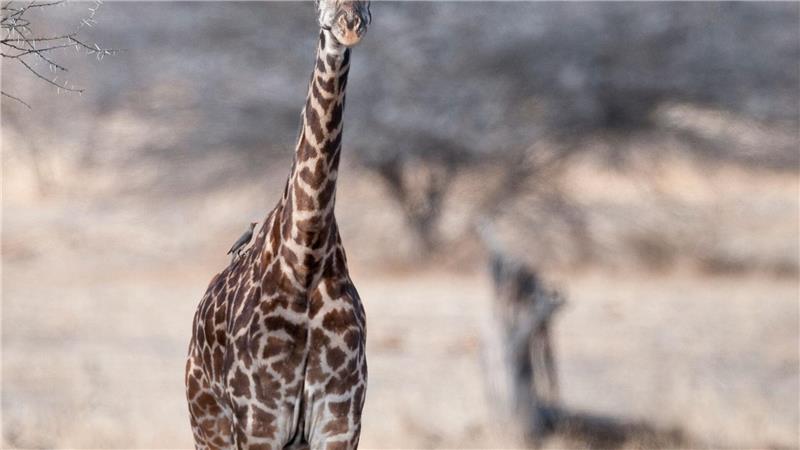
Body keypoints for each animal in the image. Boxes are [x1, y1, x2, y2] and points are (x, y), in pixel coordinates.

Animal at [185, 1, 371, 448]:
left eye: (373, 2)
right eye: (321, 3)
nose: (350, 25)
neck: (305, 258)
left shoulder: (341, 419)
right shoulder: (259, 419)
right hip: (207, 423)